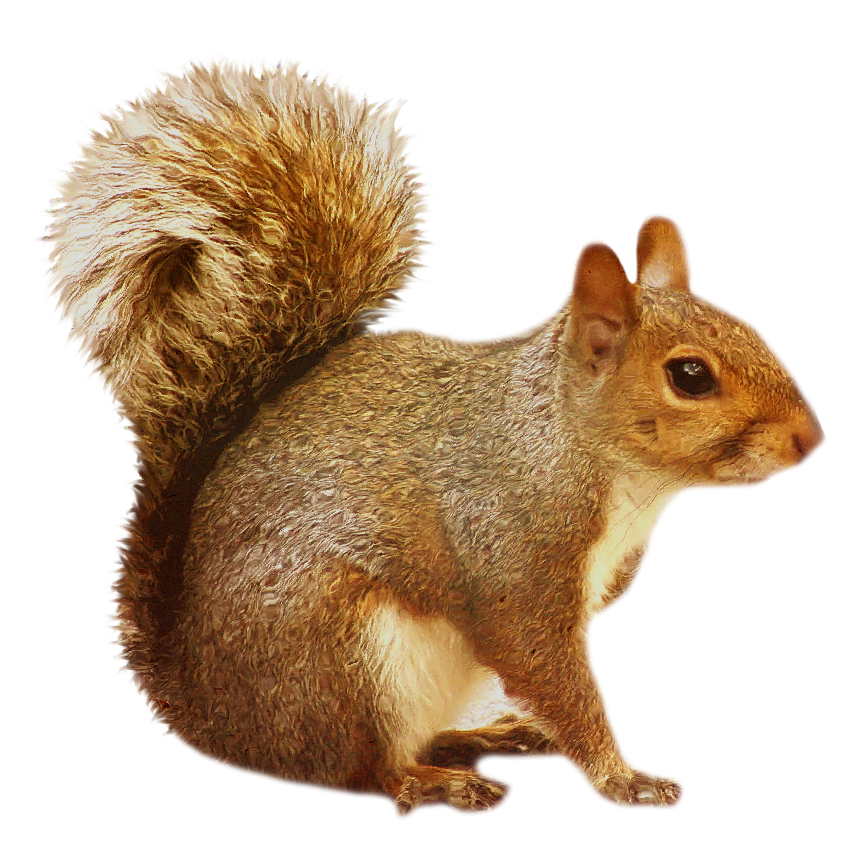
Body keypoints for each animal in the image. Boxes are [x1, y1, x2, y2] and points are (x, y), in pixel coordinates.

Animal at [47, 59, 827, 819]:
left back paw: (483, 738)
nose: (811, 442)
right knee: (361, 773)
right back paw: (437, 783)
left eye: (750, 333)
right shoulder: (514, 549)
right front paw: (625, 780)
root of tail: (217, 714)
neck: (585, 451)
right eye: (690, 375)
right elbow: (545, 663)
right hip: (341, 656)